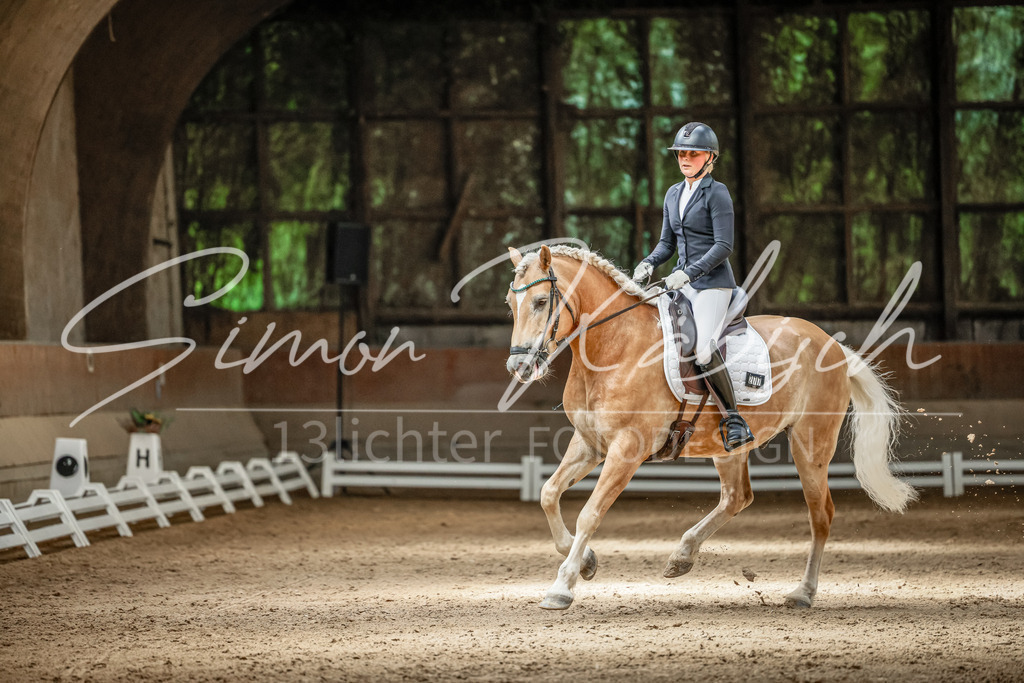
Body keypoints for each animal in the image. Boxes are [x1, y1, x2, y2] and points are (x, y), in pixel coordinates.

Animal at [504, 244, 917, 610]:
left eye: (540, 302)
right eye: (511, 304)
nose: (519, 367)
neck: (615, 347)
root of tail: (832, 343)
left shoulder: (626, 450)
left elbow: (590, 512)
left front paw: (563, 586)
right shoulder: (589, 443)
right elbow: (548, 494)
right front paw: (586, 561)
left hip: (811, 444)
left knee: (821, 514)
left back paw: (803, 593)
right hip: (729, 446)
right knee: (737, 497)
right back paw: (682, 556)